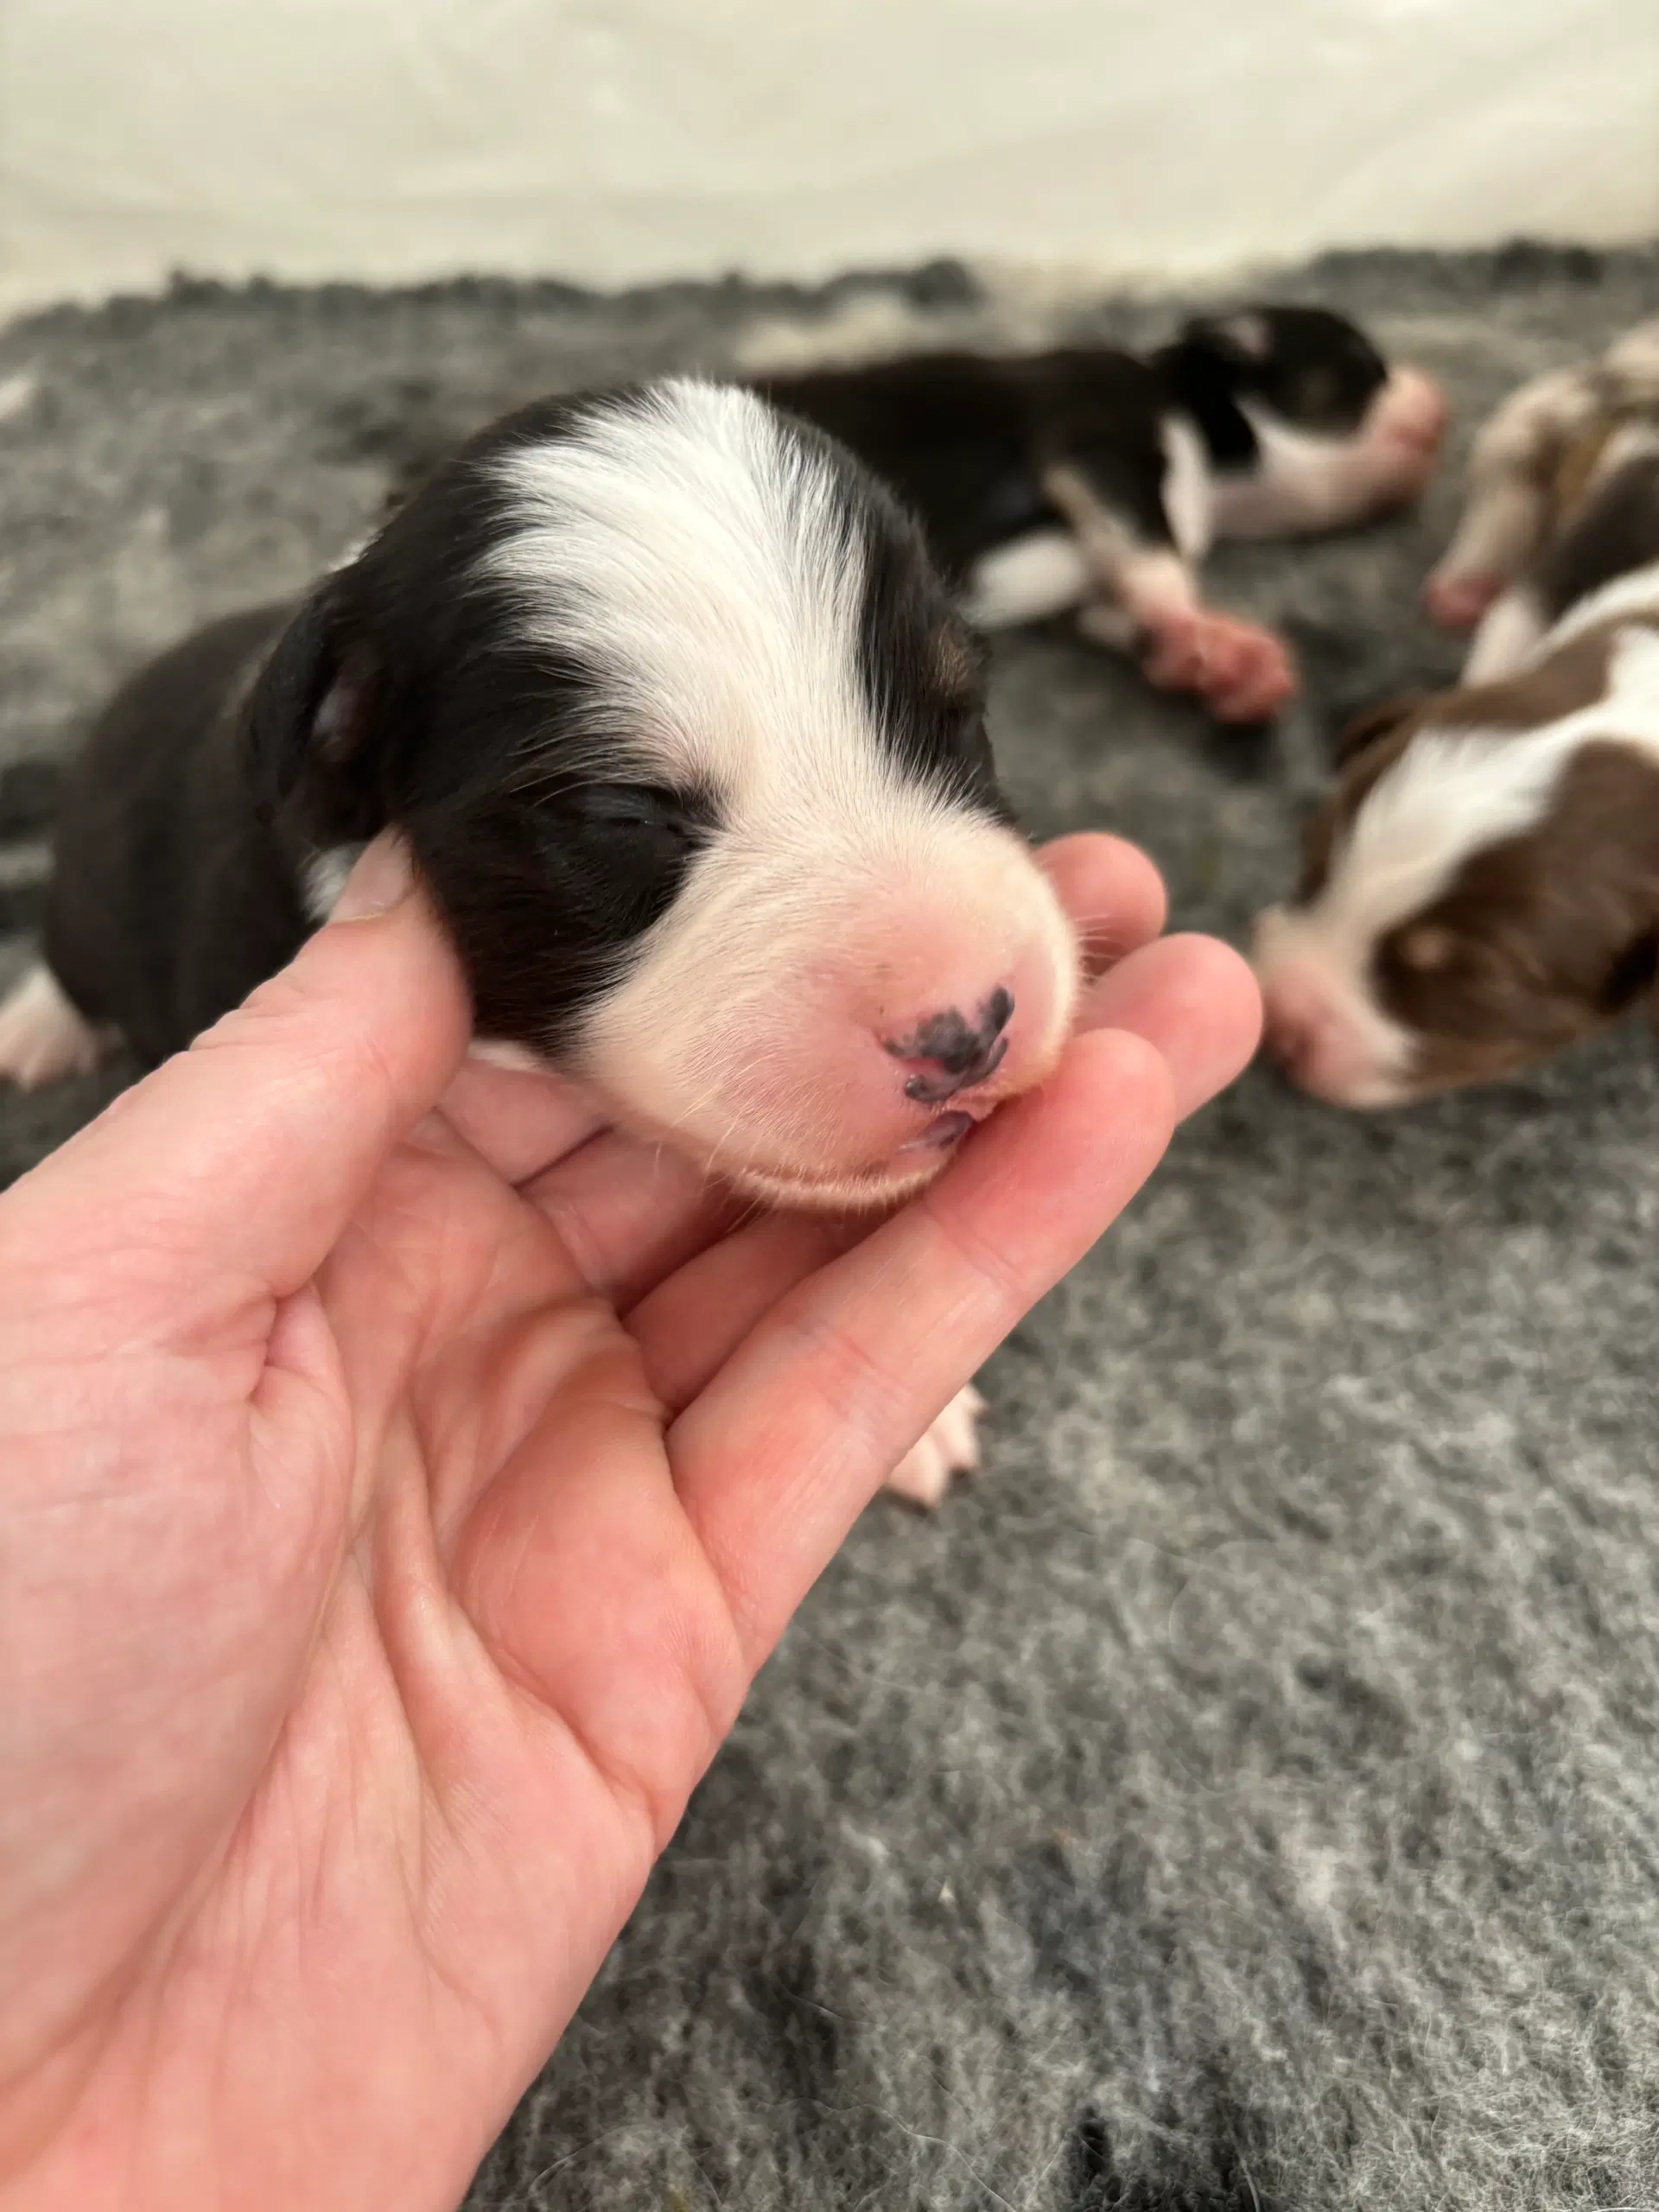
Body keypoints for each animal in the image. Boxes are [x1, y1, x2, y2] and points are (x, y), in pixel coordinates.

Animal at [752, 307, 1442, 725]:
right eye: (1365, 363)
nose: (1441, 403)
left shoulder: (1085, 584)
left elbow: (1117, 611)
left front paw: (1226, 666)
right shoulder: (1097, 445)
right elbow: (1154, 555)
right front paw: (1198, 621)